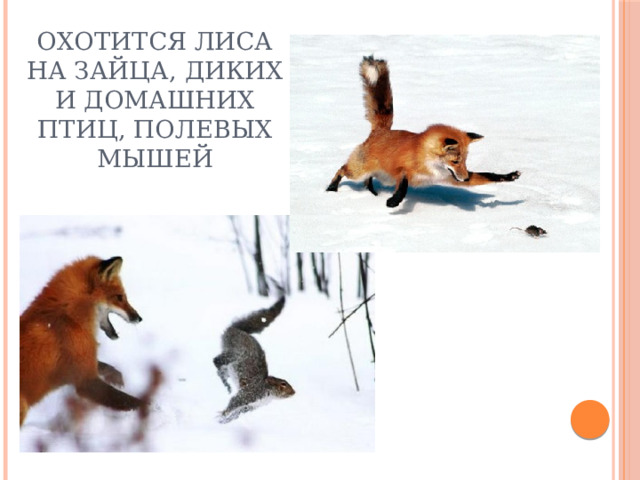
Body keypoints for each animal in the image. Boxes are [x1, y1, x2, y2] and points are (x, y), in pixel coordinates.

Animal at [20, 256, 144, 426]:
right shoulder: (86, 381)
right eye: (120, 297)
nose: (139, 318)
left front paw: (116, 377)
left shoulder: (81, 362)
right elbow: (132, 401)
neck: (70, 316)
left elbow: (106, 367)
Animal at [327, 56, 521, 208]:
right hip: (359, 171)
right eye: (456, 161)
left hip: (379, 176)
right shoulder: (402, 170)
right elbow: (404, 186)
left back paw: (371, 193)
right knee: (341, 170)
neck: (427, 161)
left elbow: (488, 175)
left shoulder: (449, 177)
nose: (465, 178)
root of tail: (381, 130)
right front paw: (394, 201)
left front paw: (509, 176)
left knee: (367, 180)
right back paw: (331, 189)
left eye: (465, 161)